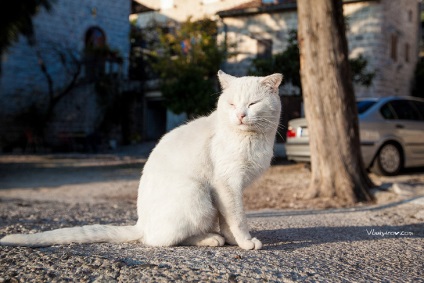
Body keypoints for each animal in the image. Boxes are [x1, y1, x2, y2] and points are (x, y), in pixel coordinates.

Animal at [1, 70, 284, 251]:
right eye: (232, 104)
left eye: (253, 103)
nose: (240, 115)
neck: (253, 138)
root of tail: (140, 223)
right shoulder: (227, 184)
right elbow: (237, 218)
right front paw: (245, 242)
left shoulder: (228, 190)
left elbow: (228, 221)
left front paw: (235, 241)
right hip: (198, 194)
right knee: (159, 240)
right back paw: (209, 239)